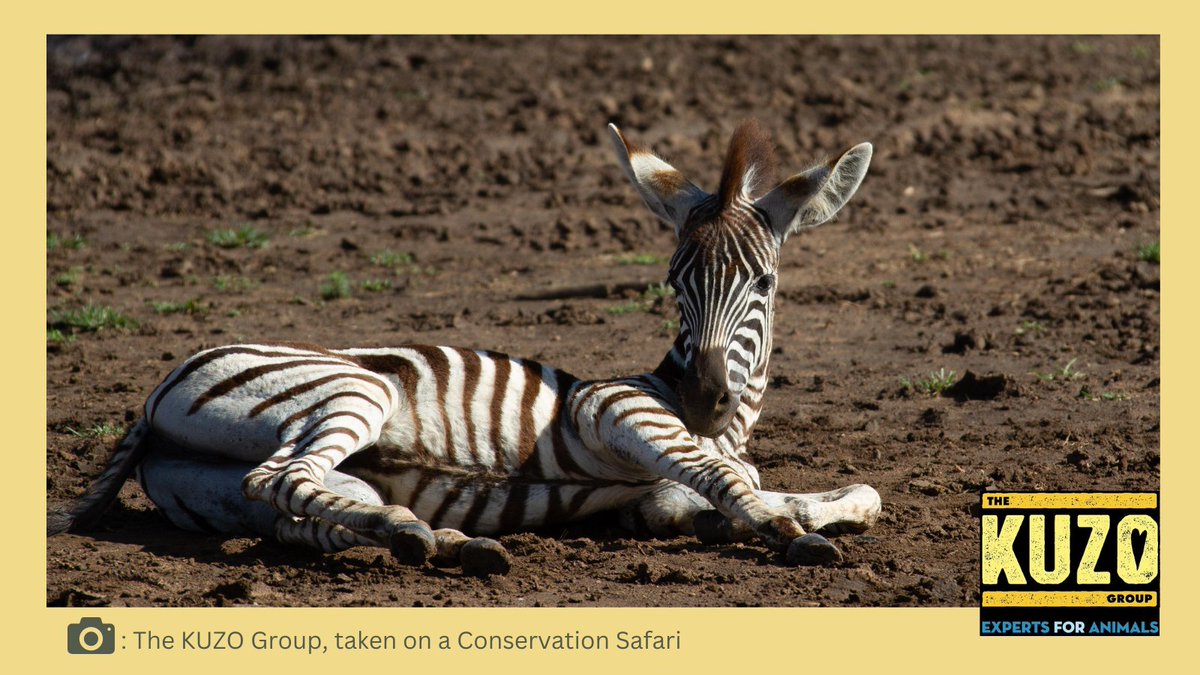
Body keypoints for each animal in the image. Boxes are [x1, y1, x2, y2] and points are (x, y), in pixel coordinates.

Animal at [49, 120, 881, 577]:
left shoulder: (653, 500)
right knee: (279, 478)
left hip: (232, 484)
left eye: (763, 282)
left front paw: (795, 515)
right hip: (350, 391)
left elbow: (809, 492)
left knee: (299, 511)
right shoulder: (611, 408)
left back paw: (434, 538)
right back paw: (429, 539)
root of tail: (156, 390)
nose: (704, 398)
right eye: (674, 282)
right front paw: (788, 533)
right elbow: (734, 480)